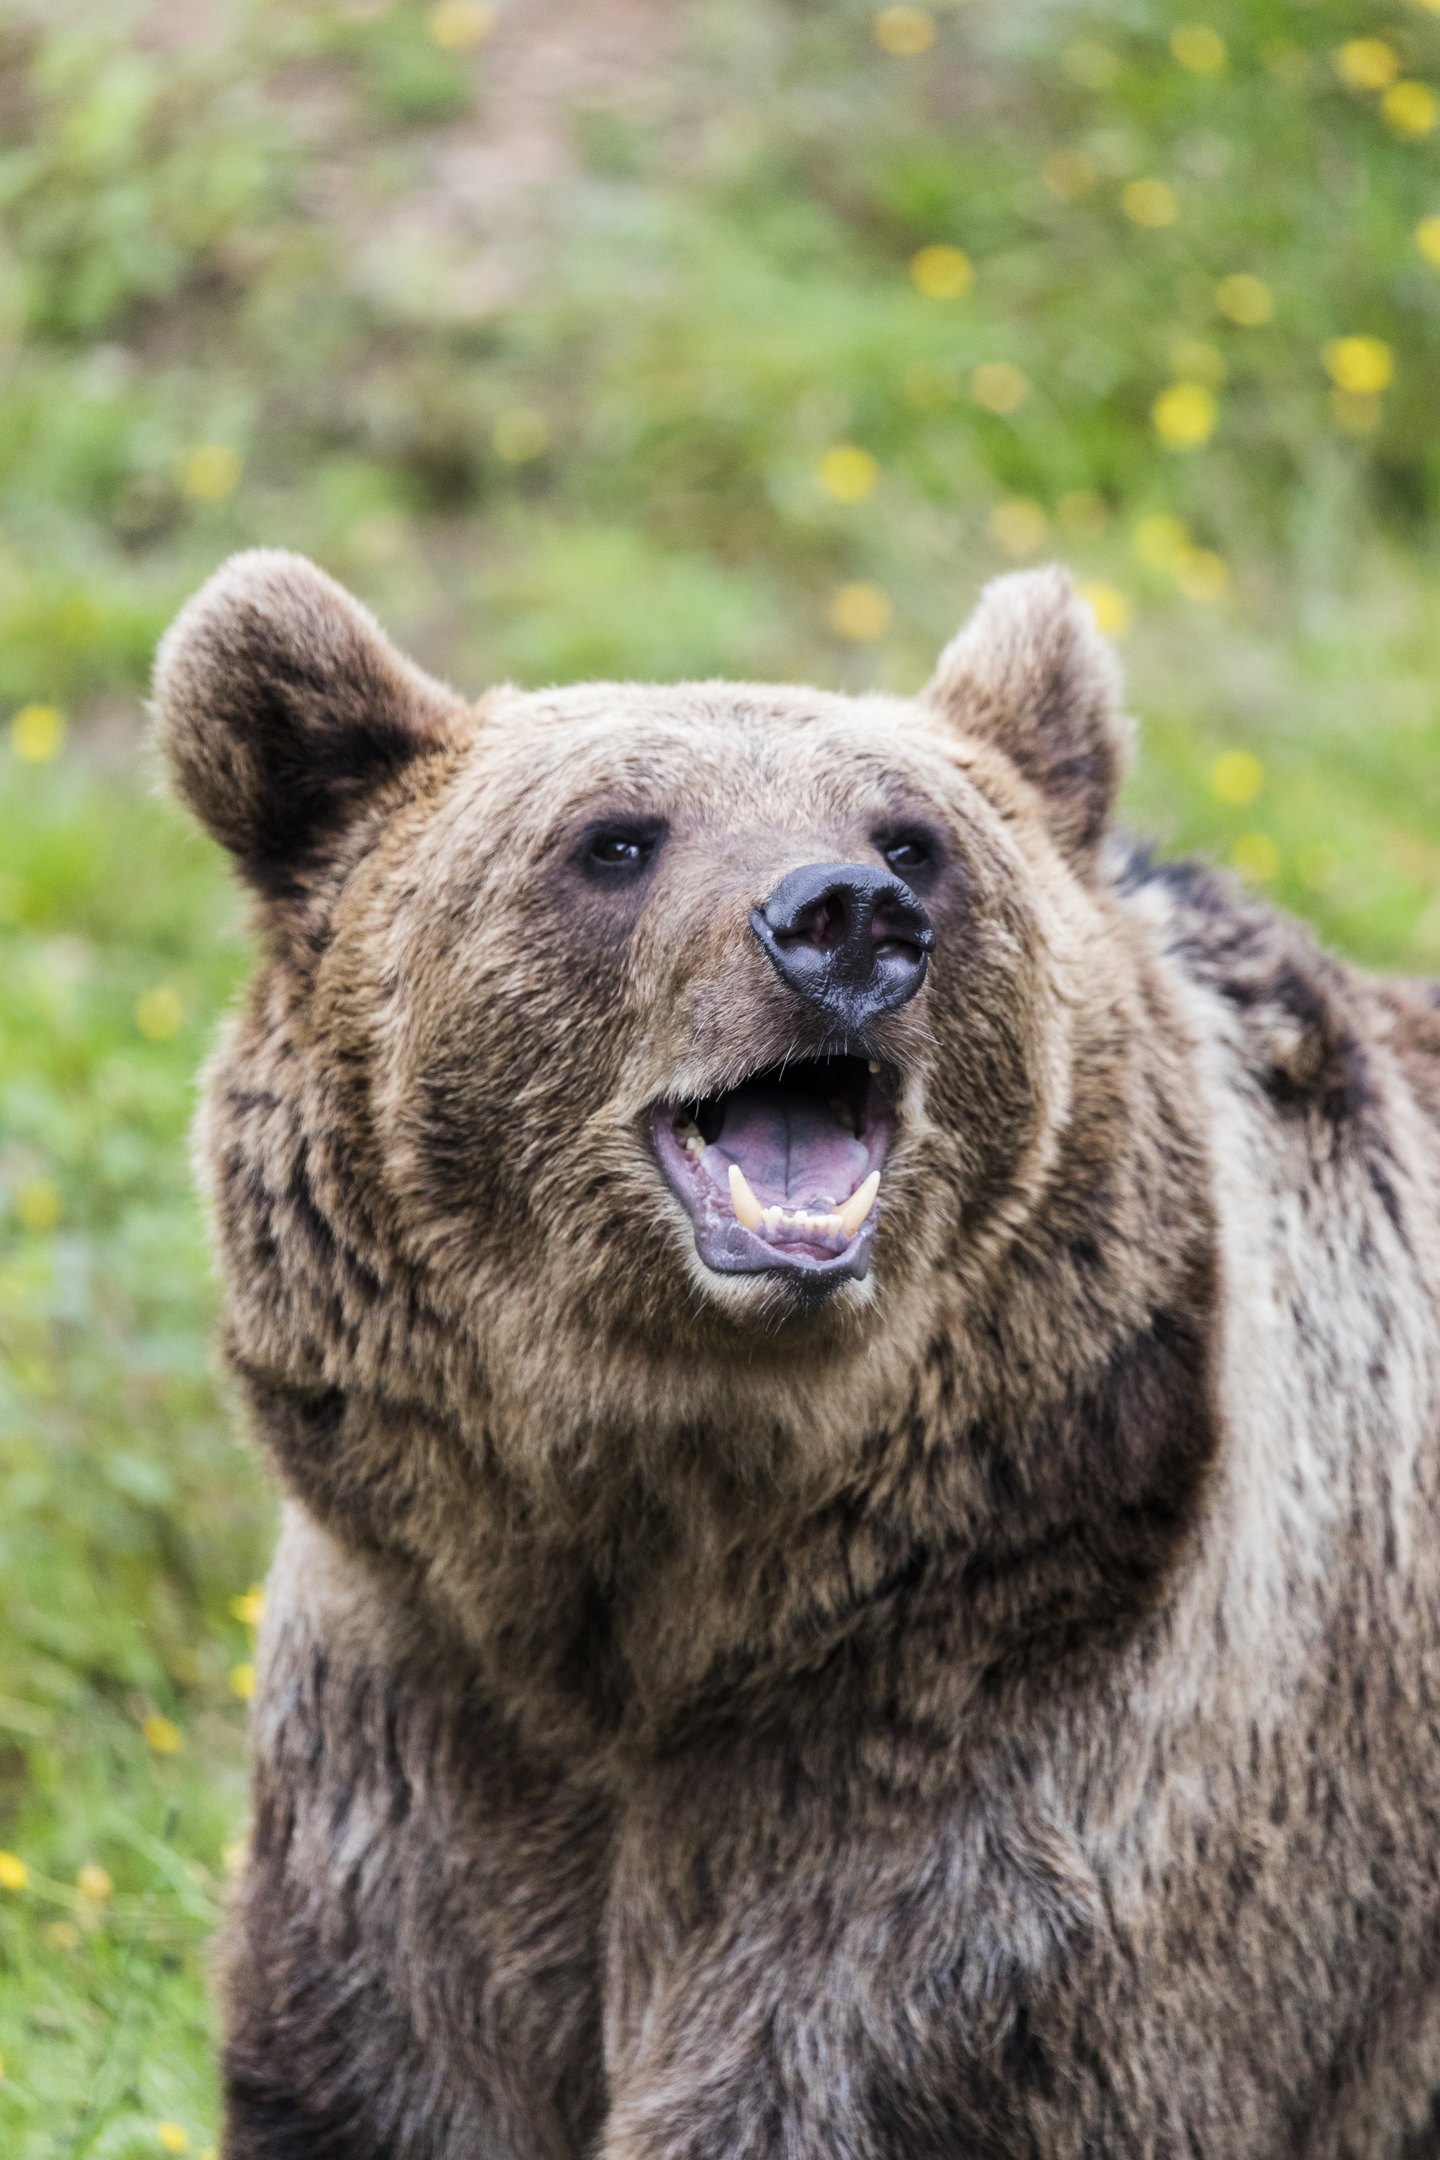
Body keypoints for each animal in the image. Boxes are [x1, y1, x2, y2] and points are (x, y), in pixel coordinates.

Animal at [153, 548, 1440, 2160]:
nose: (845, 917)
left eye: (913, 837)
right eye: (616, 839)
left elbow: (850, 2070)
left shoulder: (991, 1735)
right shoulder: (414, 1727)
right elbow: (382, 2071)